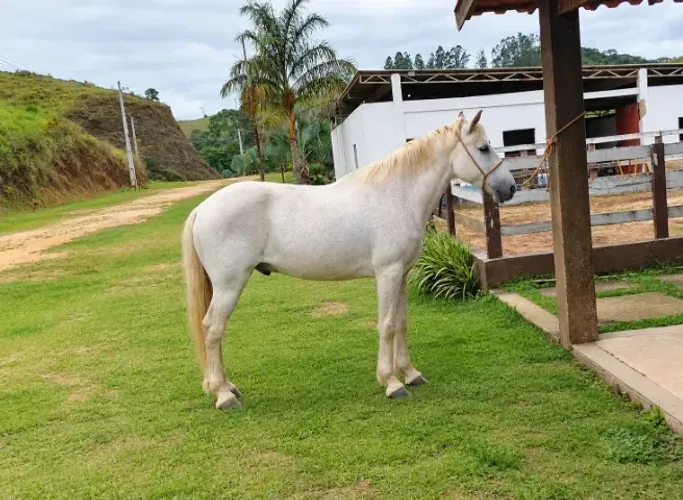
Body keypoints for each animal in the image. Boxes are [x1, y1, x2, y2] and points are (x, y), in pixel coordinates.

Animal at [181, 110, 517, 410]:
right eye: (483, 148)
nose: (511, 188)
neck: (398, 195)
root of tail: (202, 209)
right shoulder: (387, 274)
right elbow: (387, 324)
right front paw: (392, 382)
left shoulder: (402, 274)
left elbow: (402, 322)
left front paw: (410, 373)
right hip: (229, 284)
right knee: (213, 329)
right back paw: (223, 395)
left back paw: (227, 387)